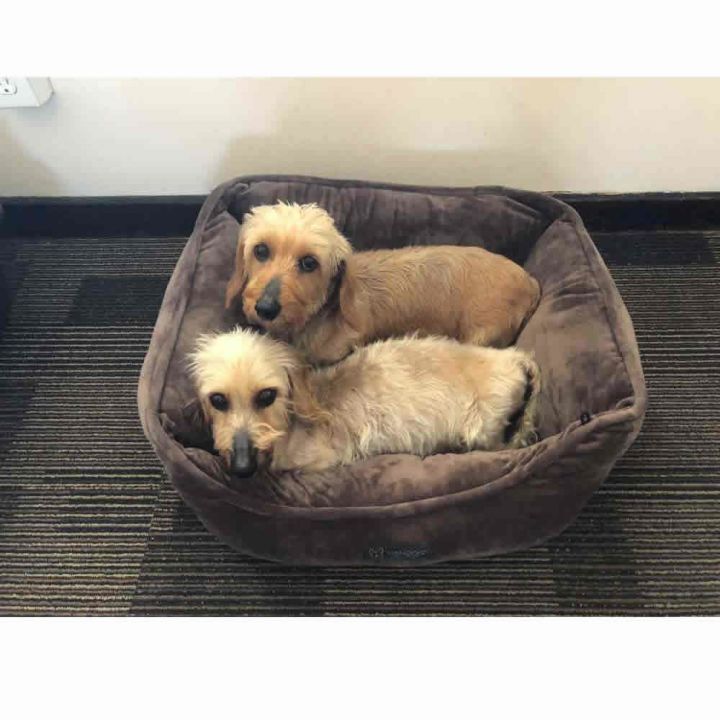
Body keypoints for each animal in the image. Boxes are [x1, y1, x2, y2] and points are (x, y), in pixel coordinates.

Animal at [225, 202, 540, 366]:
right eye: (261, 250)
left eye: (309, 263)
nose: (265, 308)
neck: (322, 315)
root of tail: (529, 281)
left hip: (480, 335)